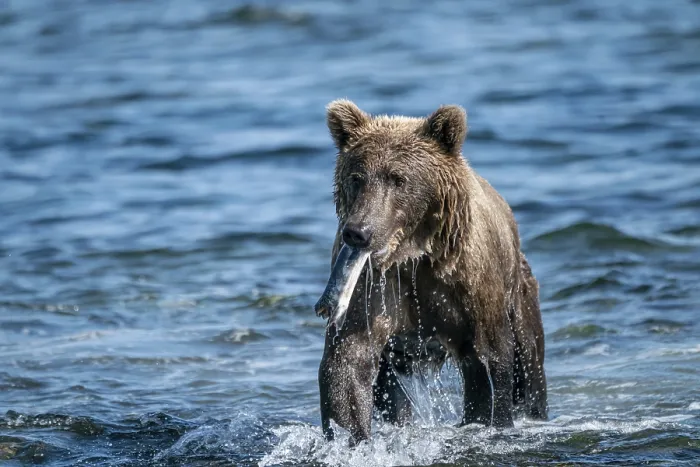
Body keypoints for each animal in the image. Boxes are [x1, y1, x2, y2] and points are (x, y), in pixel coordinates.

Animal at [317, 99, 548, 445]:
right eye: (357, 177)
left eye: (398, 178)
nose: (359, 232)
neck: (416, 256)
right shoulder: (375, 287)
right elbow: (349, 362)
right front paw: (351, 439)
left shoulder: (470, 285)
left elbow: (490, 360)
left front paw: (490, 422)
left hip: (519, 292)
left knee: (529, 365)